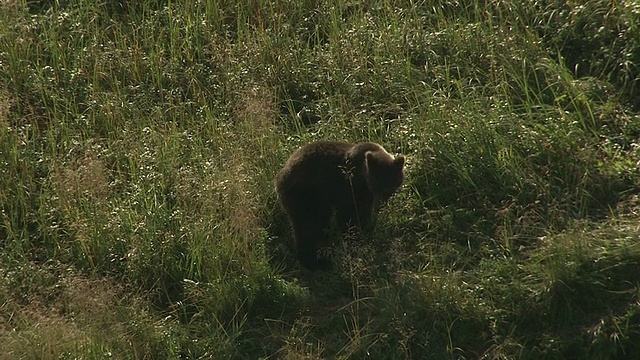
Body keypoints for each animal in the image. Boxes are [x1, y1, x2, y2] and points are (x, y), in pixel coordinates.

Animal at [276, 141, 404, 270]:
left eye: (389, 187)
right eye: (374, 185)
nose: (378, 206)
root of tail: (281, 173)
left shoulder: (364, 197)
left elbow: (362, 215)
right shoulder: (348, 188)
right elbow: (348, 218)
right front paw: (355, 242)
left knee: (320, 223)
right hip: (304, 194)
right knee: (306, 225)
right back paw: (313, 261)